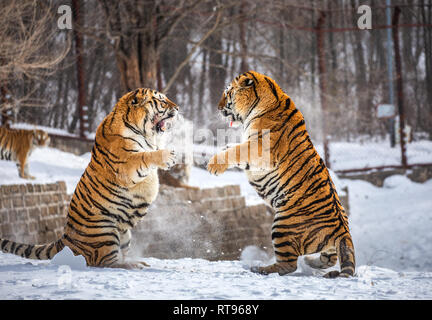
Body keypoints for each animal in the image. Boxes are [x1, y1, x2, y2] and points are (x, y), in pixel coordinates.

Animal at [0, 87, 178, 268]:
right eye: (162, 101)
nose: (177, 108)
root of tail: (65, 237)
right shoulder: (125, 165)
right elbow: (144, 156)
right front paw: (168, 156)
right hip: (105, 231)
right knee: (104, 261)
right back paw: (131, 265)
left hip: (124, 233)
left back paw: (135, 262)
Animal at [208, 70, 356, 278]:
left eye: (228, 93)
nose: (218, 107)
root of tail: (343, 231)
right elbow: (233, 147)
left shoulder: (260, 149)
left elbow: (237, 150)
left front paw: (214, 165)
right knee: (329, 258)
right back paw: (312, 262)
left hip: (282, 225)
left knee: (288, 265)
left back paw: (260, 269)